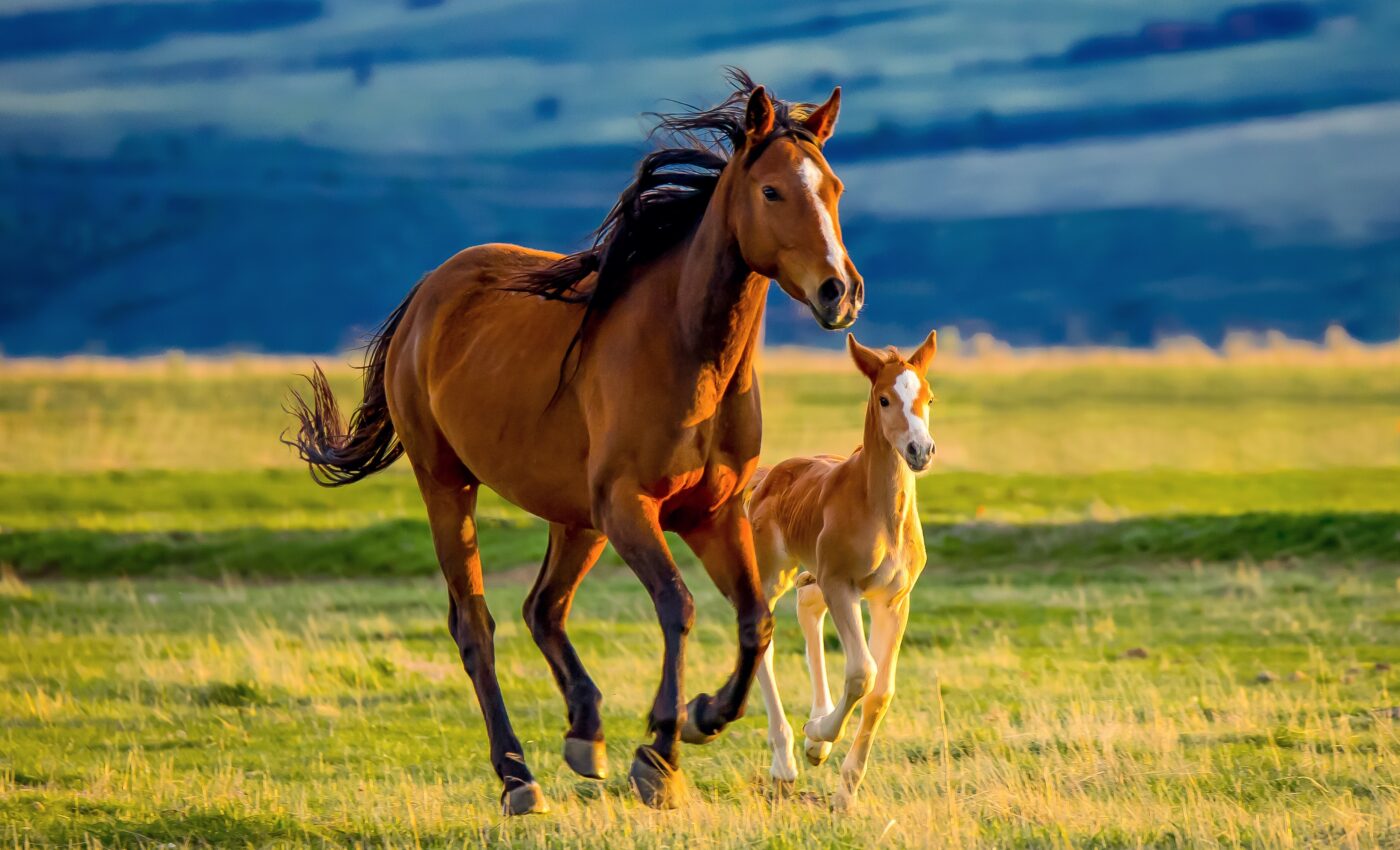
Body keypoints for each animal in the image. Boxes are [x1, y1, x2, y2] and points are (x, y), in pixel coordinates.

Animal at [285, 70, 863, 814]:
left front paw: (703, 716)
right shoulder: (630, 507)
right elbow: (678, 607)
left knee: (543, 608)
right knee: (476, 625)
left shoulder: (711, 514)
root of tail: (427, 296)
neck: (688, 354)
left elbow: (755, 621)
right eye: (772, 191)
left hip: (576, 518)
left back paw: (585, 733)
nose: (840, 292)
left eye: (834, 188)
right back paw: (517, 776)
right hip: (450, 486)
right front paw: (659, 755)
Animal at [745, 330, 937, 810]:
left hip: (814, 576)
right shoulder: (842, 585)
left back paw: (812, 741)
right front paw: (818, 734)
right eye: (884, 399)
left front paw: (845, 790)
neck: (881, 512)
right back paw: (787, 761)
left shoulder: (893, 600)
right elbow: (862, 672)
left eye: (929, 397)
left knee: (808, 608)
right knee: (763, 635)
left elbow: (881, 690)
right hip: (773, 573)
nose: (920, 451)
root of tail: (769, 474)